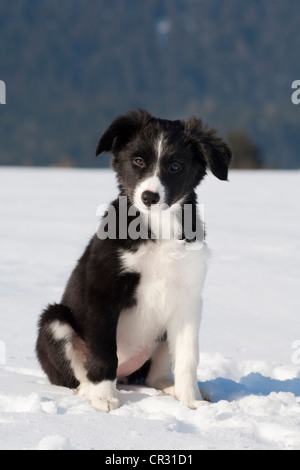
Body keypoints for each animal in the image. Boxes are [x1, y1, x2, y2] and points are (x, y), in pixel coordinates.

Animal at [35, 110, 232, 412]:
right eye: (138, 161)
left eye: (176, 166)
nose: (149, 197)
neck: (158, 227)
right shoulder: (103, 292)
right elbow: (104, 352)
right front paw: (104, 398)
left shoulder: (187, 299)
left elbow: (188, 357)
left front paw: (192, 401)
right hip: (54, 320)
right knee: (77, 374)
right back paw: (89, 391)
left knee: (154, 377)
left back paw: (173, 389)